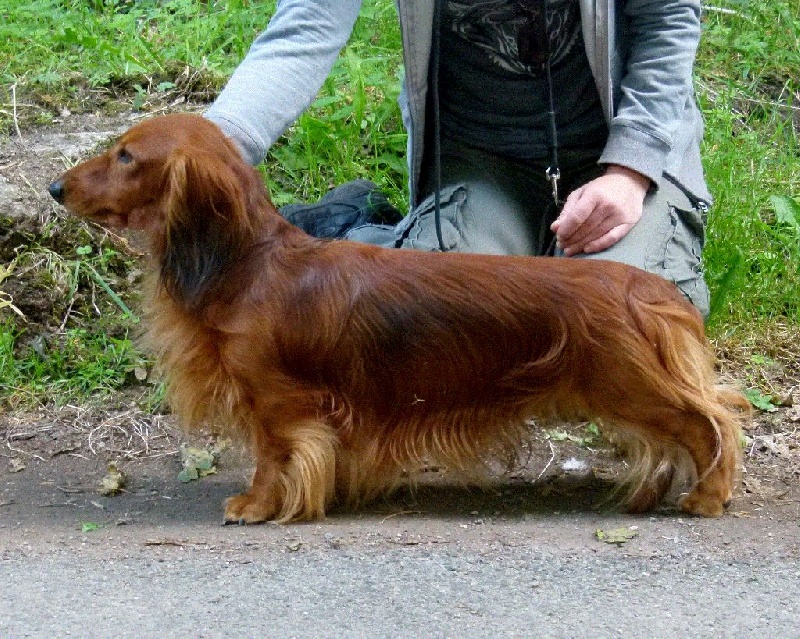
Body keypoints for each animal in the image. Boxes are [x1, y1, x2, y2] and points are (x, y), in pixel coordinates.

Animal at [48, 113, 748, 523]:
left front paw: (256, 505)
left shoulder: (278, 401)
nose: (55, 189)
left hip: (631, 383)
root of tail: (646, 287)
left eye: (127, 157)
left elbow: (274, 457)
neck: (248, 264)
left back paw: (708, 497)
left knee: (713, 421)